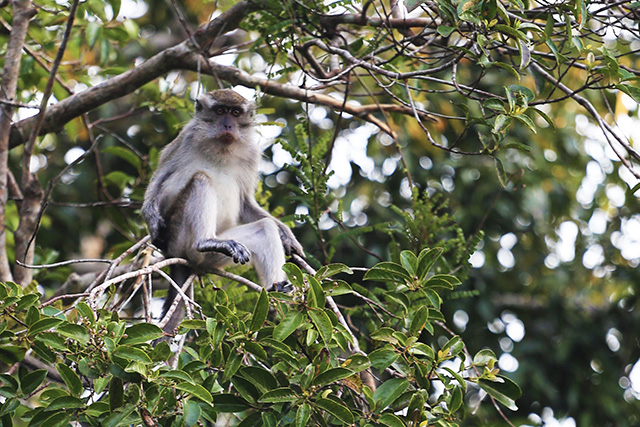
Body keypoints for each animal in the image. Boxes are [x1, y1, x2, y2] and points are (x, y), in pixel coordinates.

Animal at [144, 89, 304, 338]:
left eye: (235, 113)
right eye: (220, 111)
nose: (228, 125)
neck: (222, 147)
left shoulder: (251, 153)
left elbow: (247, 203)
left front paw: (287, 235)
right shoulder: (186, 137)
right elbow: (160, 176)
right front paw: (151, 218)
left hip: (214, 259)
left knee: (264, 228)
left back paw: (277, 293)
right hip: (179, 238)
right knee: (200, 179)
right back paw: (206, 241)